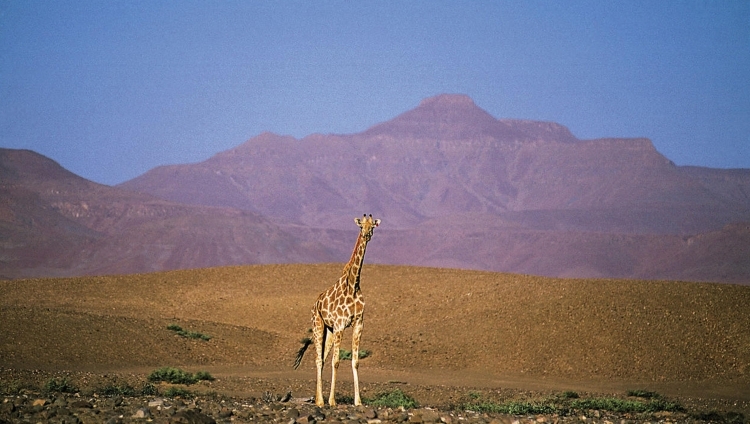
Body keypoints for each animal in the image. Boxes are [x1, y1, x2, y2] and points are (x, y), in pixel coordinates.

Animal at [294, 214, 382, 406]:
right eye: (361, 226)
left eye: (372, 226)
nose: (366, 234)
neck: (353, 285)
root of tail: (315, 303)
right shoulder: (341, 325)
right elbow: (336, 361)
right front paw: (332, 400)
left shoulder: (358, 324)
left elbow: (355, 361)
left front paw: (358, 401)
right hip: (319, 326)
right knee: (319, 359)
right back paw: (320, 401)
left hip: (329, 331)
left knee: (322, 358)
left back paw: (318, 398)